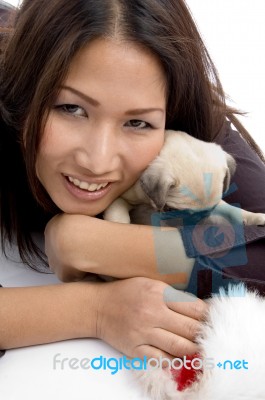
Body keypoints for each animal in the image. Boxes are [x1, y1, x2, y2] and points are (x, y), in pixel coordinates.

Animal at [102, 130, 264, 227]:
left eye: (209, 211)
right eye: (170, 209)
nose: (197, 222)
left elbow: (232, 209)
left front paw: (254, 217)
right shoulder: (121, 198)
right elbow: (119, 216)